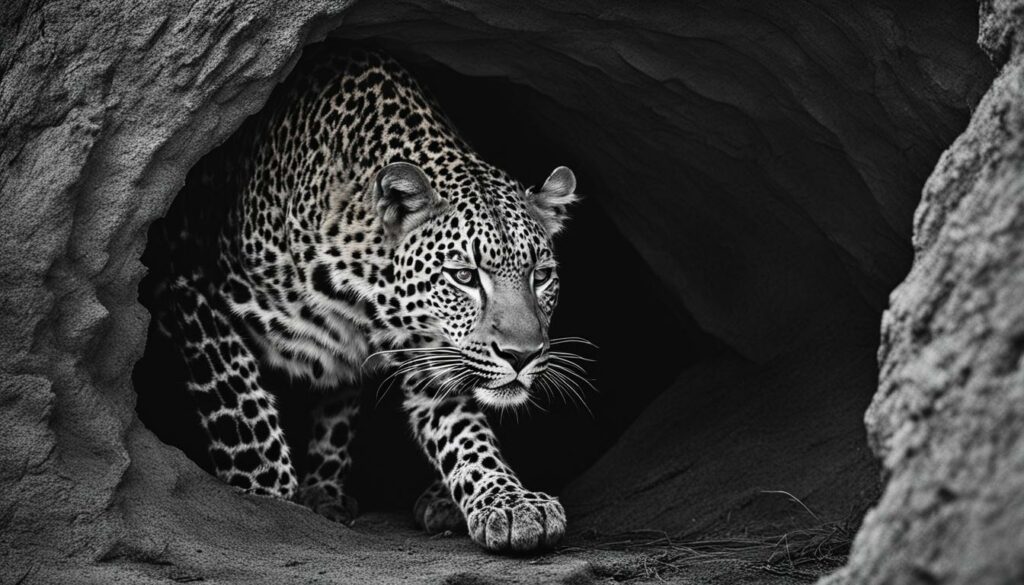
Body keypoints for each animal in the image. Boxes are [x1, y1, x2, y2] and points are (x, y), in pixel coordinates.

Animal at [143, 44, 583, 553]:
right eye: (464, 276)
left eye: (542, 276)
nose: (522, 355)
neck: (364, 302)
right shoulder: (187, 283)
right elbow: (237, 396)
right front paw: (264, 495)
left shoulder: (431, 355)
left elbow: (463, 431)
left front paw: (509, 503)